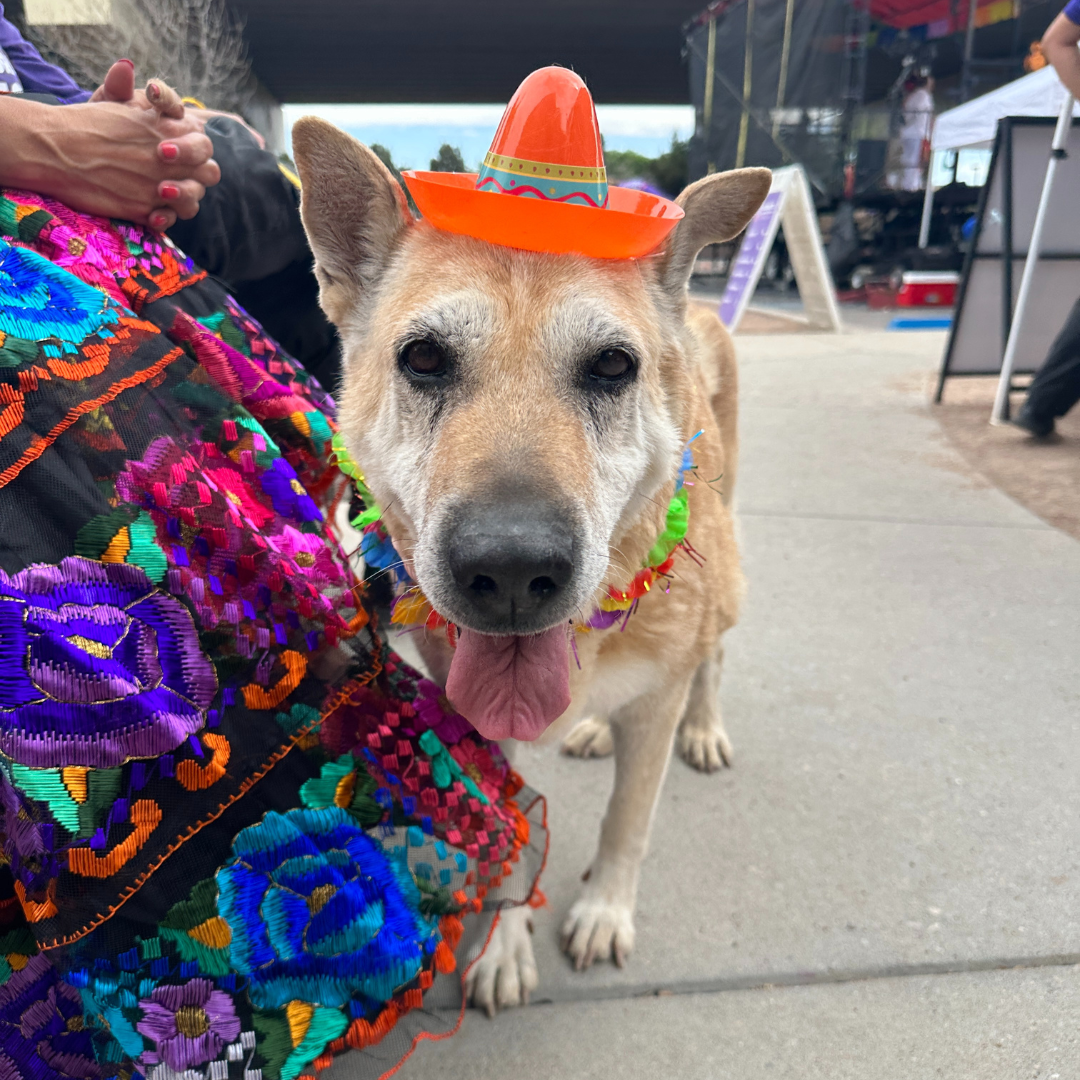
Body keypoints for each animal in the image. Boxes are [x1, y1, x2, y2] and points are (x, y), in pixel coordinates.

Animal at [293, 118, 768, 1010]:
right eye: (423, 359)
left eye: (613, 366)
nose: (511, 571)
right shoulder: (480, 720)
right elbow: (513, 831)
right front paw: (504, 944)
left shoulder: (654, 704)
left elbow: (627, 822)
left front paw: (605, 910)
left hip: (723, 575)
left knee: (712, 657)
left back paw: (705, 725)